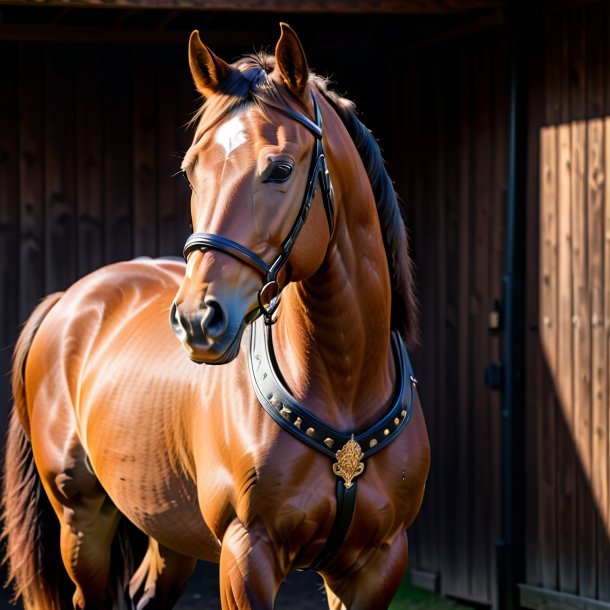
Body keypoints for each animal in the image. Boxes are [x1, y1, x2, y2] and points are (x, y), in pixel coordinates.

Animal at [1, 25, 428, 608]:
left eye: (280, 168)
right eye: (191, 171)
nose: (198, 320)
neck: (344, 390)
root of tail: (69, 299)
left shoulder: (377, 565)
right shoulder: (247, 555)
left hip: (166, 532)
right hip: (81, 522)